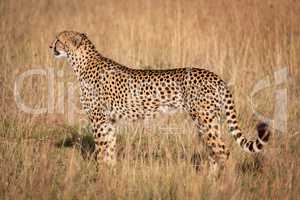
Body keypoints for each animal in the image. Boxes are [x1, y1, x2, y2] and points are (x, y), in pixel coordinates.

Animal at [49, 30, 270, 170]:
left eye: (59, 39)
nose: (50, 45)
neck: (81, 63)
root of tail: (215, 75)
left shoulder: (99, 121)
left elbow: (102, 149)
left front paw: (101, 175)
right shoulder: (108, 121)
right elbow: (109, 148)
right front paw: (110, 173)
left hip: (204, 120)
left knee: (223, 151)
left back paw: (222, 184)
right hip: (208, 122)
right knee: (215, 151)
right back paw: (209, 179)